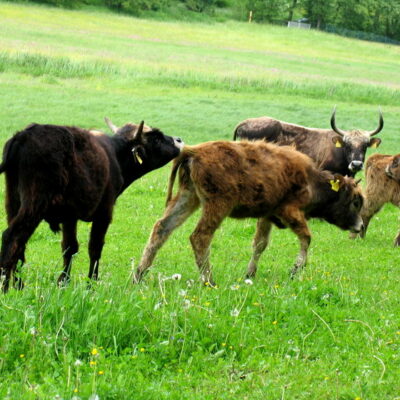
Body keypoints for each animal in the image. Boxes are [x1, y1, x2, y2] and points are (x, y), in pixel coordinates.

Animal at [0, 118, 184, 290]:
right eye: (156, 138)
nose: (179, 140)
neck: (115, 154)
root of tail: (23, 135)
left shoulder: (69, 217)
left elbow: (69, 247)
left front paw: (64, 282)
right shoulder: (104, 212)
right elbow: (95, 247)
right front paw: (91, 283)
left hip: (13, 202)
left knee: (19, 245)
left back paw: (18, 285)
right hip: (35, 202)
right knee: (12, 237)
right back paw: (6, 286)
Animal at [134, 141, 362, 284]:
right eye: (355, 201)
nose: (359, 226)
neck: (311, 180)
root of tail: (193, 151)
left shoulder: (267, 216)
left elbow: (260, 244)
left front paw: (250, 273)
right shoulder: (289, 211)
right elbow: (306, 237)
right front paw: (296, 269)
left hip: (189, 197)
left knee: (162, 228)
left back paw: (138, 275)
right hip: (216, 205)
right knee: (200, 236)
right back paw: (209, 281)